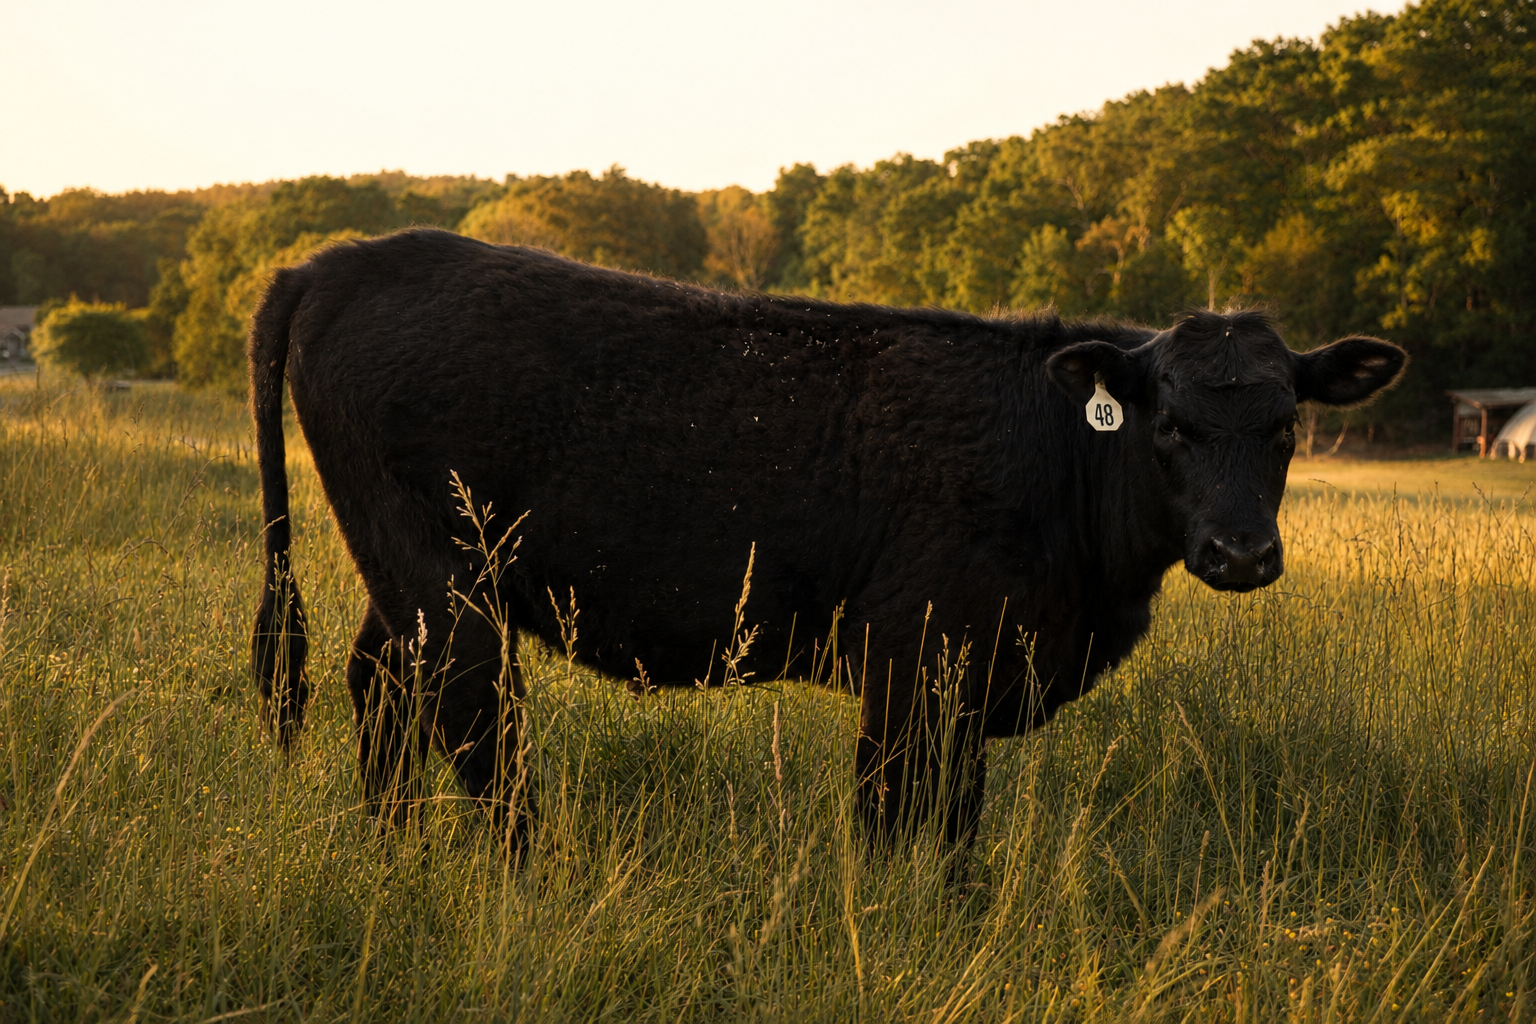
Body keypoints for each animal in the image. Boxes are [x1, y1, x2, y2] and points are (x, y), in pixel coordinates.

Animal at [248, 228, 1404, 853]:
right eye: (1170, 427)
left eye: (1286, 426)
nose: (1242, 553)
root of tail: (338, 260)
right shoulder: (912, 660)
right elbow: (895, 816)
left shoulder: (970, 681)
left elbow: (956, 826)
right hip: (447, 582)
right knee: (477, 727)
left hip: (404, 581)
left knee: (381, 692)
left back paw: (396, 855)